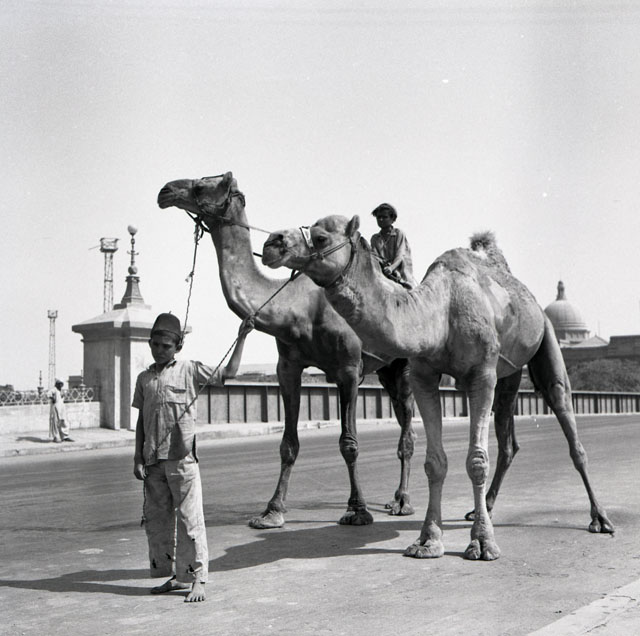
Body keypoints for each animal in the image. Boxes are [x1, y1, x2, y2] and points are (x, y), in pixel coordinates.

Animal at [157, 173, 416, 530]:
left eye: (201, 185)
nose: (165, 190)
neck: (299, 309)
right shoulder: (287, 367)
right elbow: (288, 444)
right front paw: (271, 511)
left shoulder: (349, 369)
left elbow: (349, 444)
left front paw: (357, 510)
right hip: (386, 369)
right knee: (401, 415)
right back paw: (394, 499)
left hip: (403, 364)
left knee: (407, 427)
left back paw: (403, 501)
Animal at [261, 214, 614, 560]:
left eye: (321, 237)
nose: (272, 242)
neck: (439, 315)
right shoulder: (423, 376)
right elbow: (435, 463)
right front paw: (427, 541)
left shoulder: (482, 374)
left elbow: (476, 460)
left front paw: (482, 543)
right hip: (510, 374)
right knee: (508, 439)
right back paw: (485, 506)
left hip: (546, 338)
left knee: (566, 418)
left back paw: (600, 518)